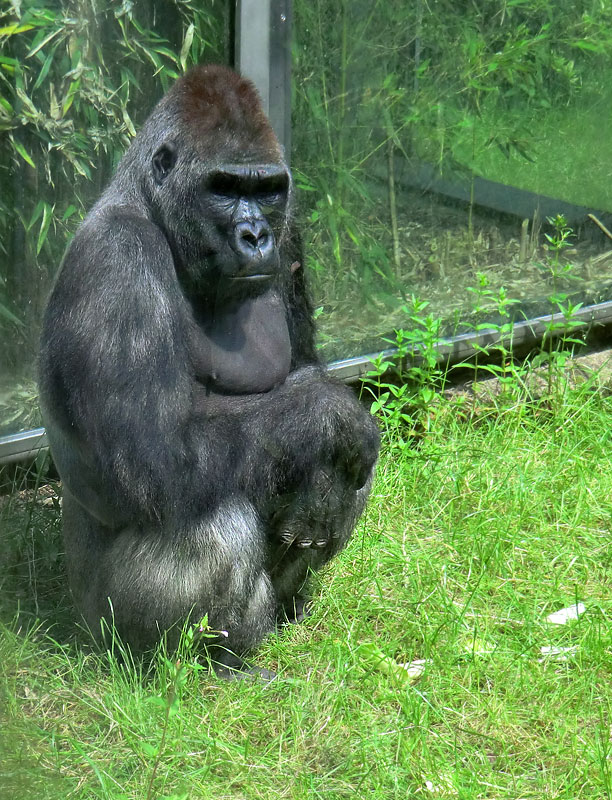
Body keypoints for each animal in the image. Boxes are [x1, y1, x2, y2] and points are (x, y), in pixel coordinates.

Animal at [37, 65, 378, 676]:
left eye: (265, 190)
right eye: (223, 187)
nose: (256, 235)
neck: (152, 208)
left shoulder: (292, 229)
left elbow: (305, 376)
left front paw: (323, 465)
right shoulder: (117, 260)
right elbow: (153, 456)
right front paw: (334, 418)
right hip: (101, 630)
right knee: (215, 517)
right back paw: (208, 661)